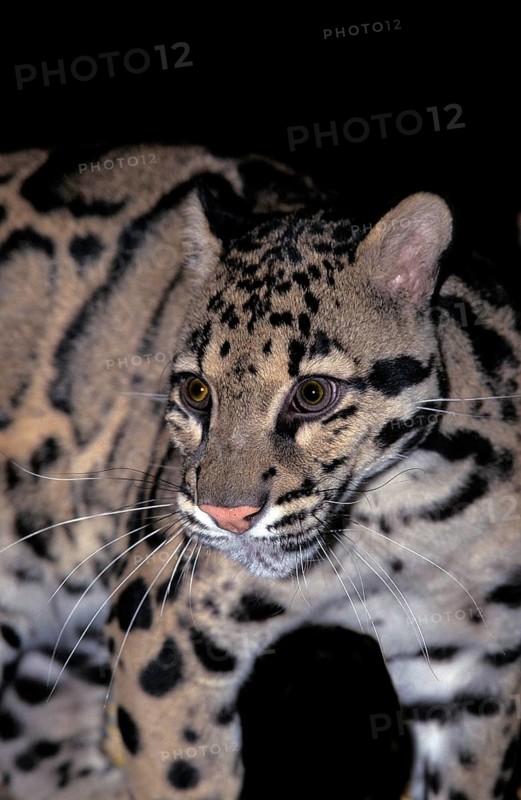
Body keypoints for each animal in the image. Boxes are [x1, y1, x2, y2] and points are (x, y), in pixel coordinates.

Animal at [0, 143, 520, 800]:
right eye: (196, 391)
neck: (415, 518)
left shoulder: (478, 664)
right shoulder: (165, 626)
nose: (227, 515)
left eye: (313, 394)